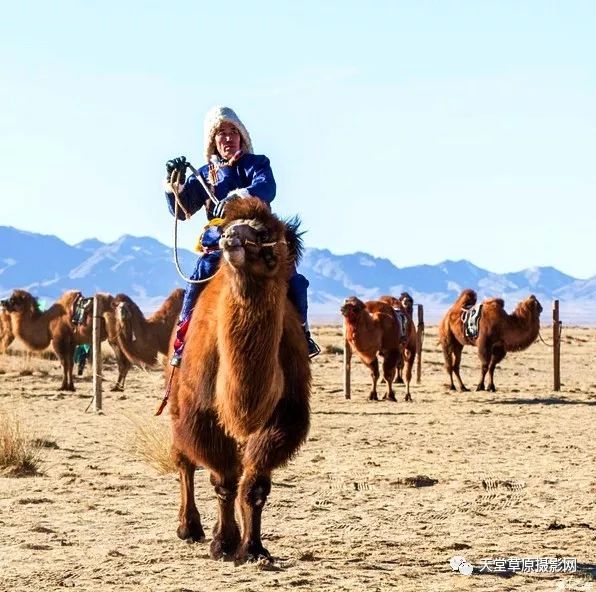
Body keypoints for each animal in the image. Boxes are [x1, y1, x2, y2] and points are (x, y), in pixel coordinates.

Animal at [0, 290, 130, 390]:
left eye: (13, 299)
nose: (2, 302)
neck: (47, 322)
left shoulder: (58, 340)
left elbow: (64, 363)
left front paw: (63, 386)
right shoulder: (71, 342)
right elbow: (70, 364)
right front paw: (71, 386)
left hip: (115, 337)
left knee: (123, 362)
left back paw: (117, 387)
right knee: (125, 362)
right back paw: (119, 387)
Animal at [165, 199, 310, 564]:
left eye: (264, 232)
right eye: (226, 226)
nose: (229, 237)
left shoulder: (284, 417)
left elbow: (255, 486)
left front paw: (254, 548)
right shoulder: (200, 413)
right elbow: (224, 480)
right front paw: (223, 543)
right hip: (175, 399)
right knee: (184, 460)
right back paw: (189, 528)